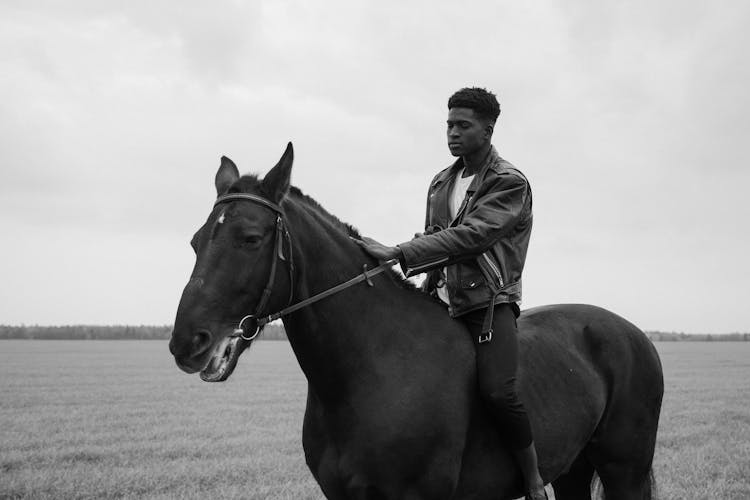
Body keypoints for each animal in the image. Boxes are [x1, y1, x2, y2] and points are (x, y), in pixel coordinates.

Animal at [170, 144, 664, 500]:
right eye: (196, 240)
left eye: (250, 239)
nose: (186, 342)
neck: (370, 371)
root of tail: (634, 335)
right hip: (575, 469)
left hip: (625, 471)